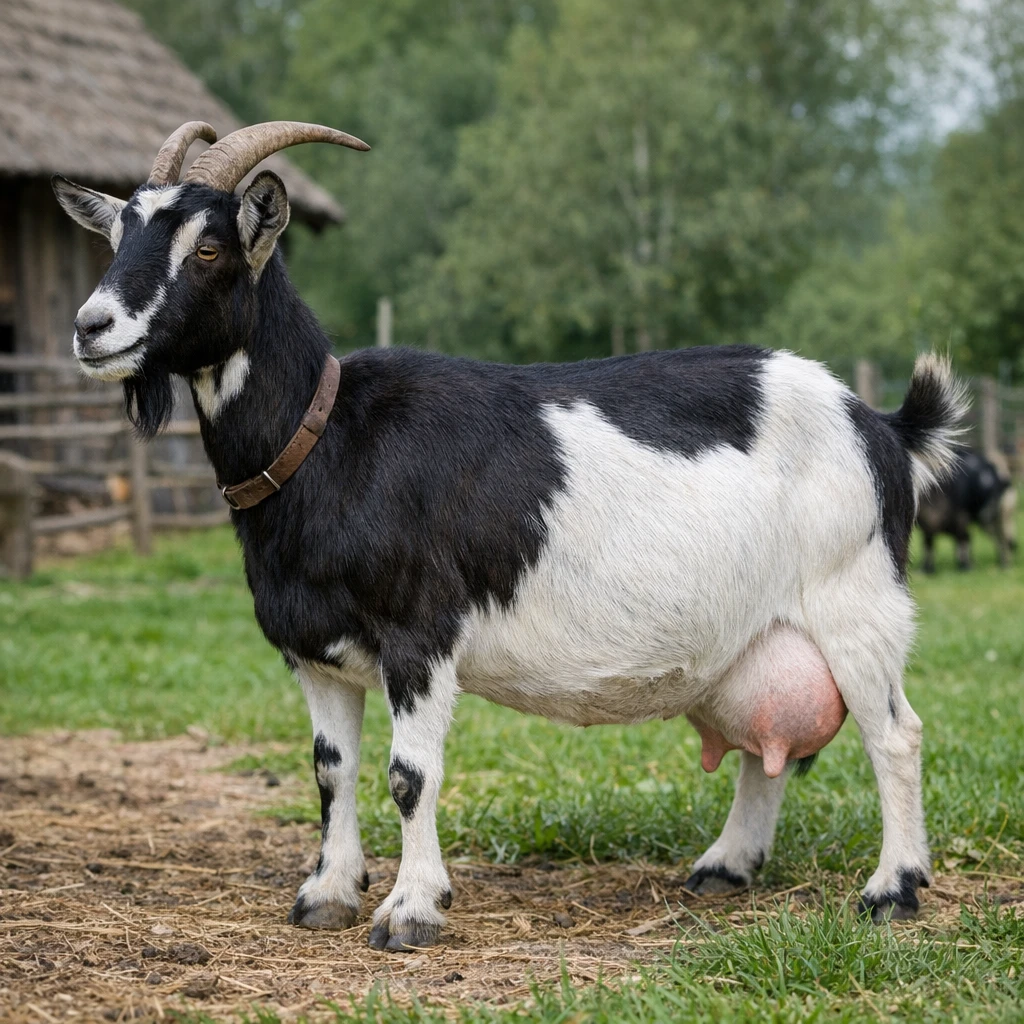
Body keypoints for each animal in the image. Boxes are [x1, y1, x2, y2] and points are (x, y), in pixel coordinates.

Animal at [53, 121, 966, 951]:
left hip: (856, 598)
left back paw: (892, 888)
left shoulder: (419, 635)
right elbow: (330, 770)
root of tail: (882, 425)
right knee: (763, 746)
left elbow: (409, 774)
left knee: (896, 733)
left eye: (208, 247)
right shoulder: (315, 650)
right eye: (118, 233)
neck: (329, 441)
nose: (92, 326)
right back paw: (726, 865)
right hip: (756, 633)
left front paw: (412, 910)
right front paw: (327, 895)